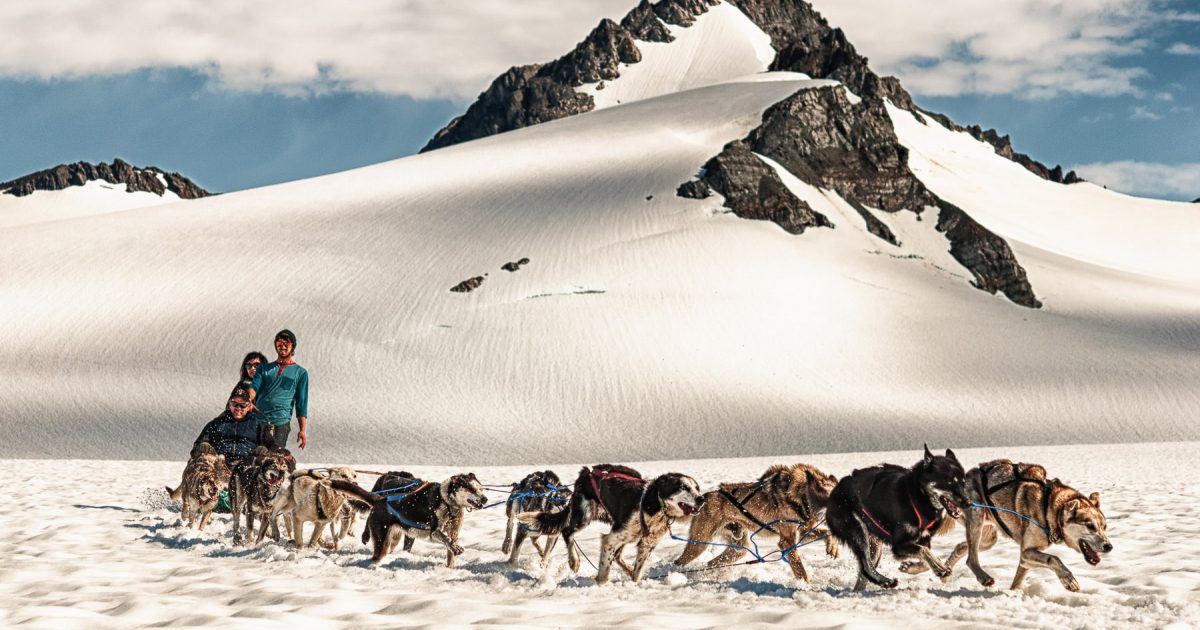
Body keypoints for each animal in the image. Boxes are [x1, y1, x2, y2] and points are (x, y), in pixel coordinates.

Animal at [333, 470, 487, 568]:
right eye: (471, 489)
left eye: (481, 489)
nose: (485, 499)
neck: (447, 502)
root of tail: (381, 499)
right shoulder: (434, 531)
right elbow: (446, 539)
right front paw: (456, 548)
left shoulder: (454, 532)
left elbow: (451, 551)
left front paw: (450, 568)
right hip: (382, 539)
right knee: (376, 555)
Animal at [516, 460, 700, 585]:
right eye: (683, 487)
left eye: (697, 488)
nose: (701, 498)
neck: (653, 504)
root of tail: (587, 472)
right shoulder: (610, 539)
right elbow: (604, 571)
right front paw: (600, 584)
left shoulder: (647, 545)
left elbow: (638, 572)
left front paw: (634, 583)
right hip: (585, 516)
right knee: (567, 531)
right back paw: (574, 561)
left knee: (618, 555)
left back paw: (627, 568)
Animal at [676, 460, 835, 580]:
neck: (800, 494)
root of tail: (703, 498)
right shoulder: (787, 542)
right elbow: (800, 569)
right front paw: (806, 586)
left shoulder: (804, 531)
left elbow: (827, 533)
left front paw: (833, 547)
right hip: (699, 543)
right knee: (679, 561)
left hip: (738, 547)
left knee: (712, 562)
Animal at [830, 444, 969, 588]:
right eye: (949, 482)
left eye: (963, 482)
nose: (968, 502)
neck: (918, 498)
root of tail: (837, 488)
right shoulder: (899, 545)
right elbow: (924, 551)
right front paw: (939, 567)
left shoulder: (924, 540)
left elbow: (925, 556)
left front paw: (912, 568)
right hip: (858, 531)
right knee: (866, 566)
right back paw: (886, 581)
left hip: (874, 545)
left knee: (864, 572)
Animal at [902, 456, 1113, 590]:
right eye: (1090, 525)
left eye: (1104, 527)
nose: (1108, 546)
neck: (1048, 506)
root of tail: (965, 477)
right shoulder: (1027, 552)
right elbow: (1055, 559)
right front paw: (1068, 581)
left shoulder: (1026, 558)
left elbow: (1018, 582)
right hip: (977, 519)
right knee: (971, 558)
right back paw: (982, 577)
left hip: (988, 537)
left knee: (961, 547)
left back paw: (927, 569)